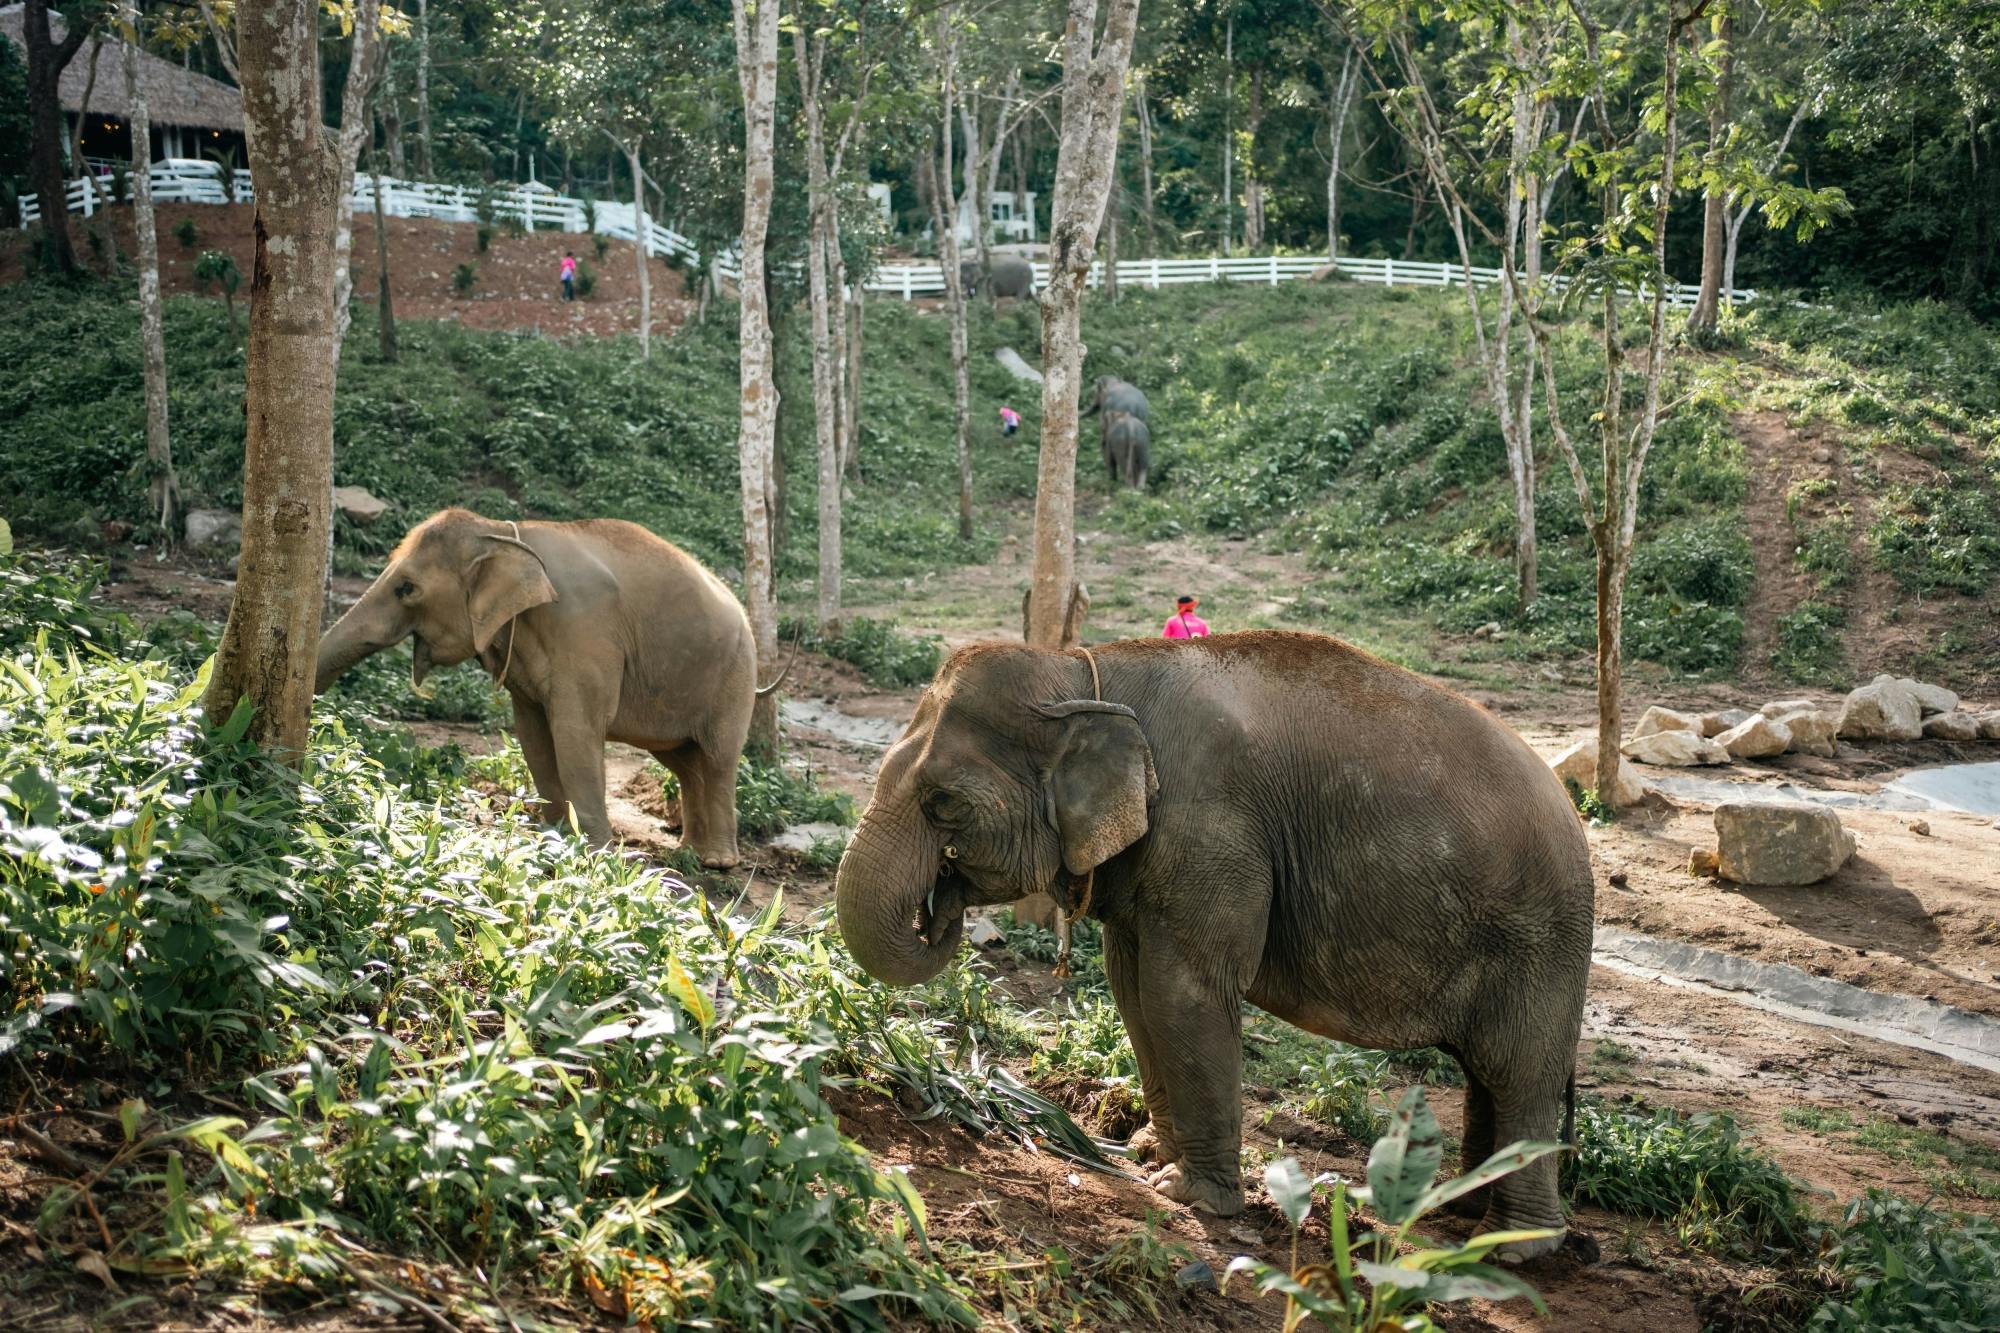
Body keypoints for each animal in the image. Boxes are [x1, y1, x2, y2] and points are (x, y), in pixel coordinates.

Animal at [314, 508, 779, 867]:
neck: (505, 532)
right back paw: (686, 852)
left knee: (718, 758)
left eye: (406, 589)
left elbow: (575, 733)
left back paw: (717, 861)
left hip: (735, 675)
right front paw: (553, 839)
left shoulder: (584, 631)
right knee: (683, 762)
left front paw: (594, 854)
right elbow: (533, 736)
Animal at [834, 632, 1593, 1259]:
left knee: (1518, 1072)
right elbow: (1132, 987)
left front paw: (1190, 1197)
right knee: (1485, 1074)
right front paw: (1147, 1154)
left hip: (1541, 941)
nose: (939, 904)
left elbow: (1183, 992)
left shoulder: (1212, 832)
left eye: (943, 803)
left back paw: (1513, 1248)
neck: (1087, 669)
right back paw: (1458, 1217)